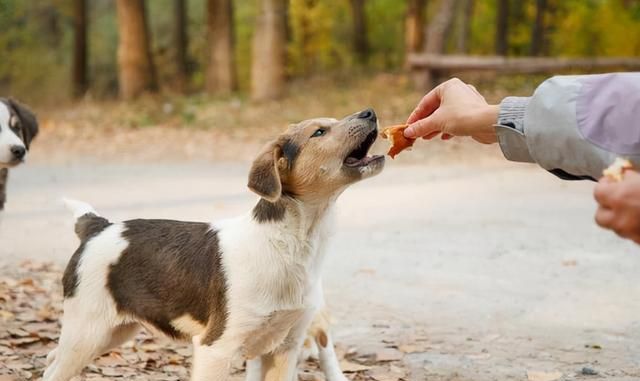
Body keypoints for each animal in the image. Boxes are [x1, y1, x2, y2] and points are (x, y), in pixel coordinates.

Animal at [45, 109, 384, 380]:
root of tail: (97, 226)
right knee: (54, 369)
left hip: (112, 332)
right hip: (87, 331)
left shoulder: (284, 349)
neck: (288, 244)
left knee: (51, 360)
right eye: (319, 132)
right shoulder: (216, 348)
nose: (369, 112)